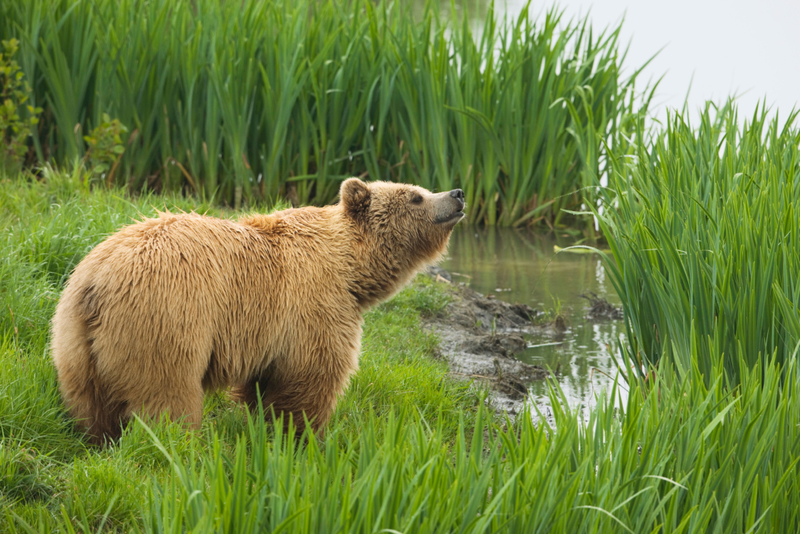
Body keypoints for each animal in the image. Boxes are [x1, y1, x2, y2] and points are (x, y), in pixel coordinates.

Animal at [50, 178, 466, 446]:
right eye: (415, 196)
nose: (458, 193)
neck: (351, 268)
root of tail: (97, 281)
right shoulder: (314, 305)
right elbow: (309, 378)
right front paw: (303, 436)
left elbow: (263, 385)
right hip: (166, 318)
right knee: (167, 395)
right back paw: (178, 445)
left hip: (73, 339)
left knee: (89, 401)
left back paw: (99, 439)